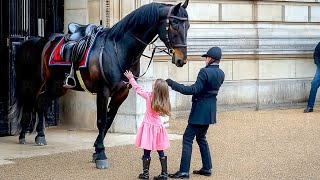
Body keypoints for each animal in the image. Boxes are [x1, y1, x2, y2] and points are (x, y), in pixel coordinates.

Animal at [8, 0, 190, 169]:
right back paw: (23, 134)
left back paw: (40, 135)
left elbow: (109, 121)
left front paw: (97, 150)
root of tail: (37, 40)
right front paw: (101, 155)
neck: (119, 49)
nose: (181, 60)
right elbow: (101, 121)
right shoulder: (103, 91)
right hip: (35, 82)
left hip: (57, 86)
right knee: (30, 102)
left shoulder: (121, 93)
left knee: (41, 102)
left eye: (187, 26)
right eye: (174, 25)